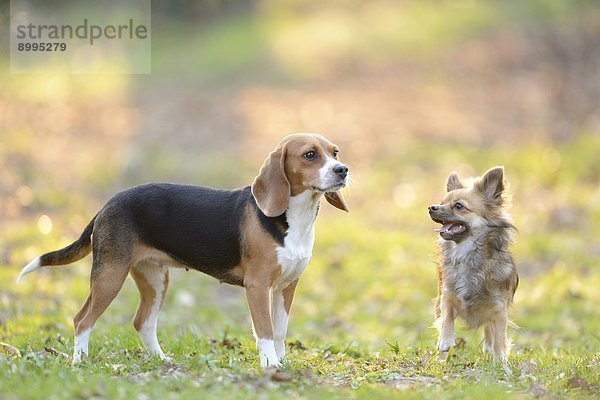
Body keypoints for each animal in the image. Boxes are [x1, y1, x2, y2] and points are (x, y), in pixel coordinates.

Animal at [426, 166, 520, 360]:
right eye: (442, 202)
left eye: (458, 206)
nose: (431, 207)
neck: (467, 255)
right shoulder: (447, 295)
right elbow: (446, 317)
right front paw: (445, 340)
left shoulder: (499, 309)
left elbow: (499, 339)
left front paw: (500, 361)